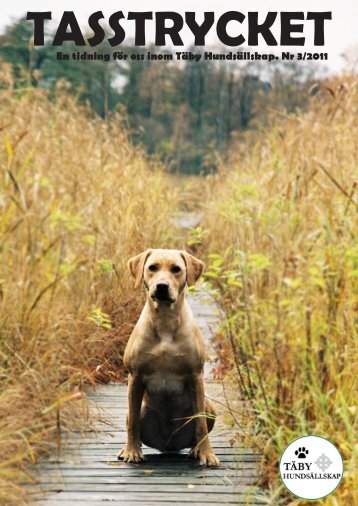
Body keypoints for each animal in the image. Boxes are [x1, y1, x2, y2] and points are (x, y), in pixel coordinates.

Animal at [118, 248, 218, 466]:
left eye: (176, 269)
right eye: (152, 267)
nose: (162, 286)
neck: (164, 320)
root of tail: (169, 445)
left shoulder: (196, 376)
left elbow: (200, 424)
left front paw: (207, 453)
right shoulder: (135, 376)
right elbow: (133, 423)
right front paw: (131, 451)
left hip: (210, 407)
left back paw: (196, 449)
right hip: (139, 407)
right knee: (132, 417)